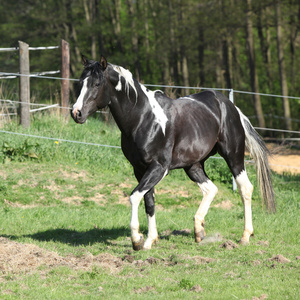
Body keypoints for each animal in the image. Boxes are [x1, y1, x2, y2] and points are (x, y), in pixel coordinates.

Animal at [71, 55, 276, 251]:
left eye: (97, 84)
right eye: (80, 82)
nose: (76, 113)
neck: (143, 119)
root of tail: (230, 106)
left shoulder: (159, 168)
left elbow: (134, 196)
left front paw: (137, 240)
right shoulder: (140, 169)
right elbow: (149, 202)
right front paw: (150, 241)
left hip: (233, 157)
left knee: (245, 189)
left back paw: (245, 236)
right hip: (193, 166)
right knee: (211, 189)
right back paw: (198, 231)